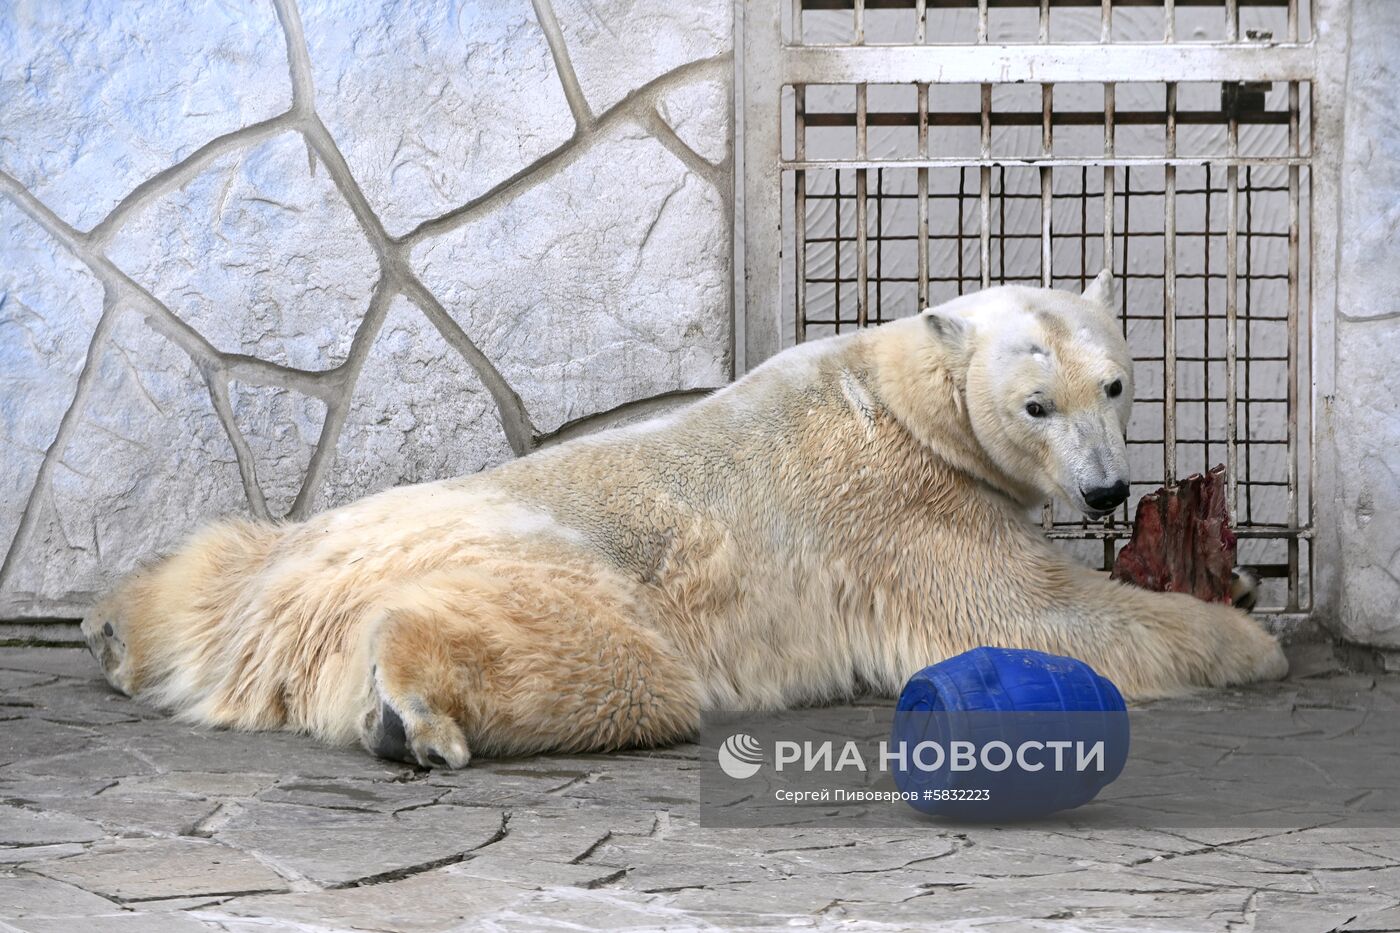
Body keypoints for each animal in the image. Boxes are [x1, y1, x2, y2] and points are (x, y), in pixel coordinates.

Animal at [84, 273, 1288, 767]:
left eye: (1117, 383)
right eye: (1037, 403)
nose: (1107, 493)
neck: (903, 395)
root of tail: (289, 599)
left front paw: (1230, 577)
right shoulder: (902, 509)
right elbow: (1030, 615)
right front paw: (1247, 636)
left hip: (277, 551)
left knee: (214, 556)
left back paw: (116, 630)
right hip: (543, 555)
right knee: (616, 664)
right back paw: (413, 713)